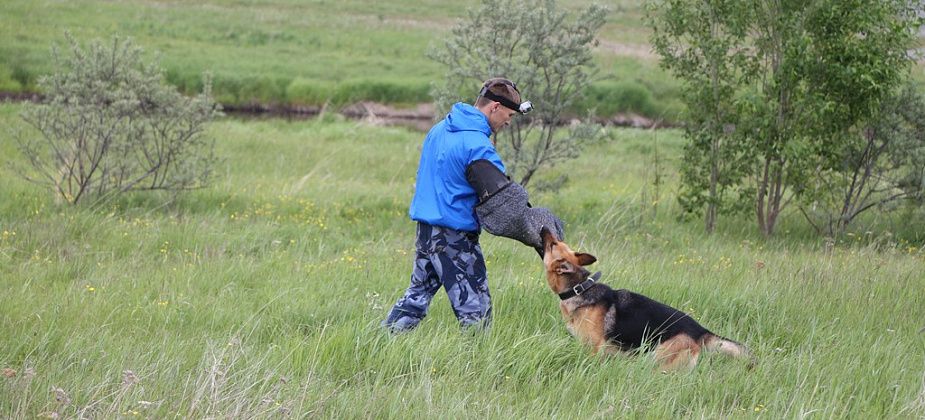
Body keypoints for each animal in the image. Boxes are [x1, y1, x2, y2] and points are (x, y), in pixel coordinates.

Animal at [540, 228, 752, 370]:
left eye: (552, 244)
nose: (544, 228)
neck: (578, 290)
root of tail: (701, 331)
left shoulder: (592, 350)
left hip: (659, 360)